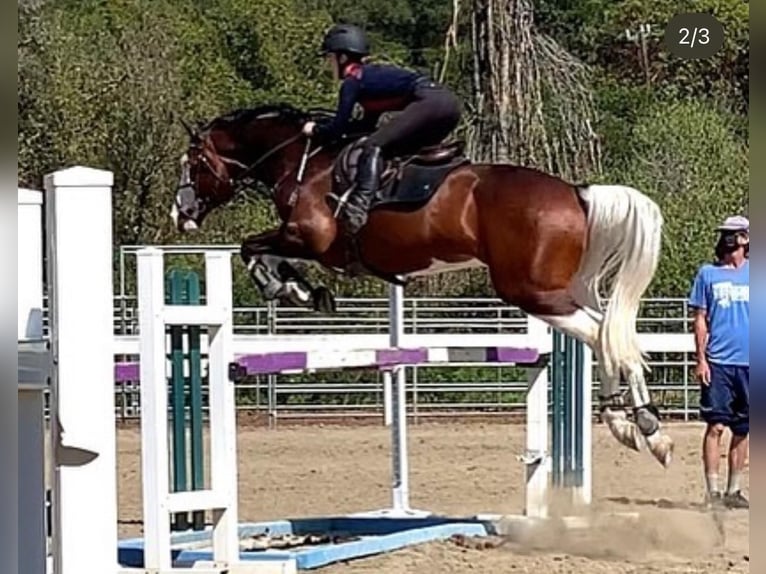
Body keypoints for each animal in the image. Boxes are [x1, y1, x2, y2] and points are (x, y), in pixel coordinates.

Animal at [171, 104, 676, 468]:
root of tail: (577, 192)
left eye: (192, 162)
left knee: (604, 337)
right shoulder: (310, 245)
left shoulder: (310, 238)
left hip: (532, 292)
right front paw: (303, 291)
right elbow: (265, 252)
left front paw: (289, 290)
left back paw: (646, 427)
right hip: (557, 291)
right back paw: (630, 424)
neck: (303, 164)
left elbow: (251, 248)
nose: (181, 214)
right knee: (610, 334)